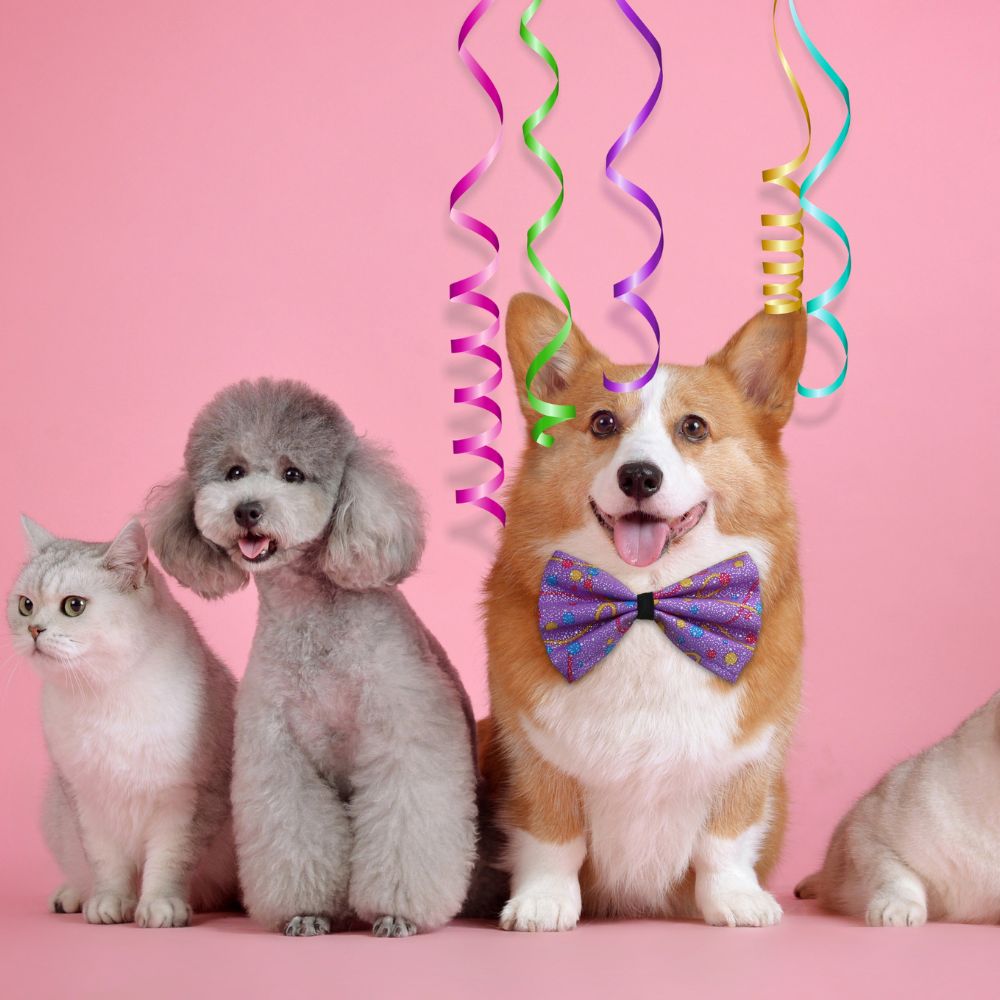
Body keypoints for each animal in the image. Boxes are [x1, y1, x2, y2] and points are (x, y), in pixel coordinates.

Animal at [7, 520, 237, 924]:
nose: (34, 629)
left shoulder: (186, 800)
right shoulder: (85, 799)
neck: (103, 695)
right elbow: (105, 863)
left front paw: (160, 906)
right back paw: (70, 897)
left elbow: (169, 860)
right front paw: (109, 902)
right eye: (25, 605)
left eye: (74, 606)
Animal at [480, 292, 808, 928]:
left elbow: (725, 840)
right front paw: (543, 903)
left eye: (694, 427)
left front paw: (736, 900)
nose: (638, 476)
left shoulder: (750, 757)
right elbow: (553, 836)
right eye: (603, 422)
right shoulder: (533, 755)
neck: (644, 605)